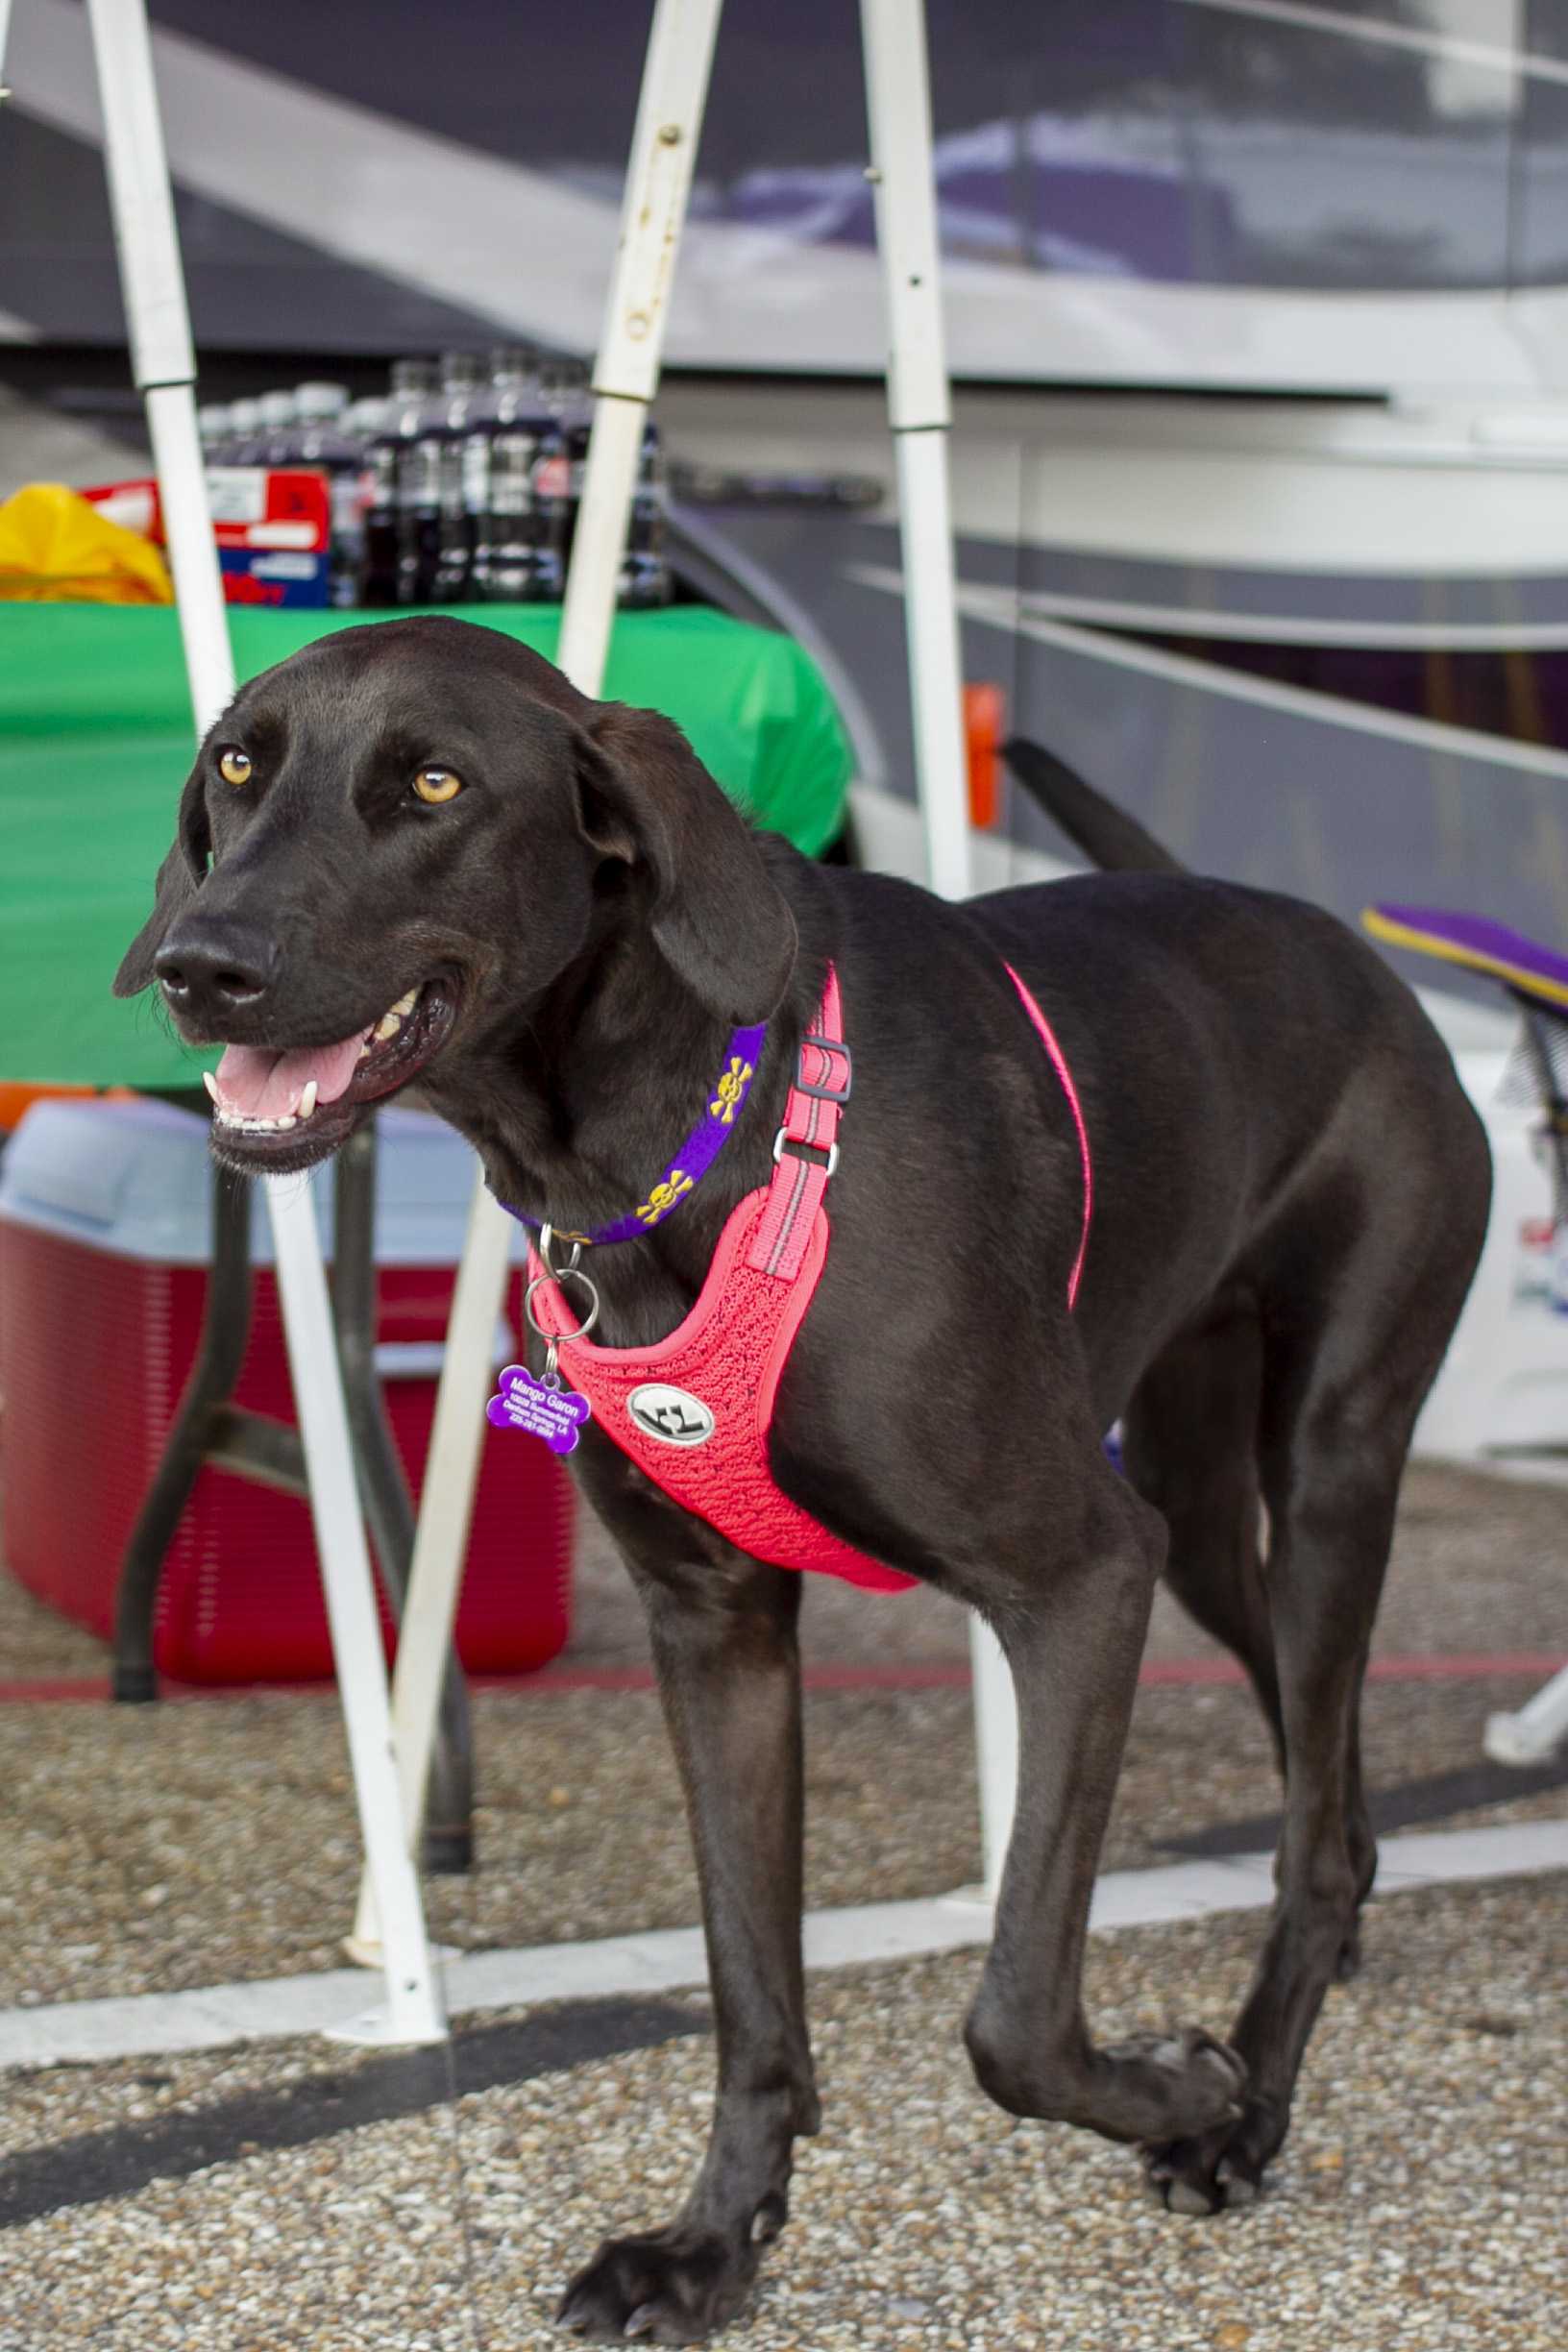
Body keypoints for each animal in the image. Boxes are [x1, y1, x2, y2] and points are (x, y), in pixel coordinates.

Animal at [113, 621, 1495, 2333]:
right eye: (239, 763)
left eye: (432, 785)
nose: (200, 965)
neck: (685, 1135)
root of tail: (1341, 946)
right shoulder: (719, 1632)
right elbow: (750, 1990)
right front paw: (713, 2244)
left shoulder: (1078, 1578)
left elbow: (1015, 2015)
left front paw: (1182, 2081)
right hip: (1200, 1520)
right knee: (1335, 1799)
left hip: (1323, 1472)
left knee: (1308, 1835)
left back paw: (1244, 2122)